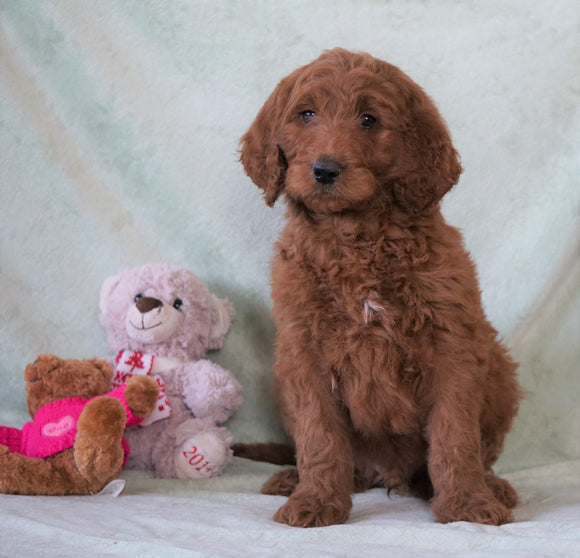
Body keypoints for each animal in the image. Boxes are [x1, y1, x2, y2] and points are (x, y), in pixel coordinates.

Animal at [238, 48, 520, 528]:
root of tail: (386, 473)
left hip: (499, 367)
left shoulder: (453, 347)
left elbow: (455, 436)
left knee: (480, 450)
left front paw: (466, 504)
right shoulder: (303, 351)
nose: (325, 170)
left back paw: (487, 485)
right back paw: (294, 480)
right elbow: (319, 435)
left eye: (369, 120)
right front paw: (317, 501)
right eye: (306, 114)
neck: (356, 240)